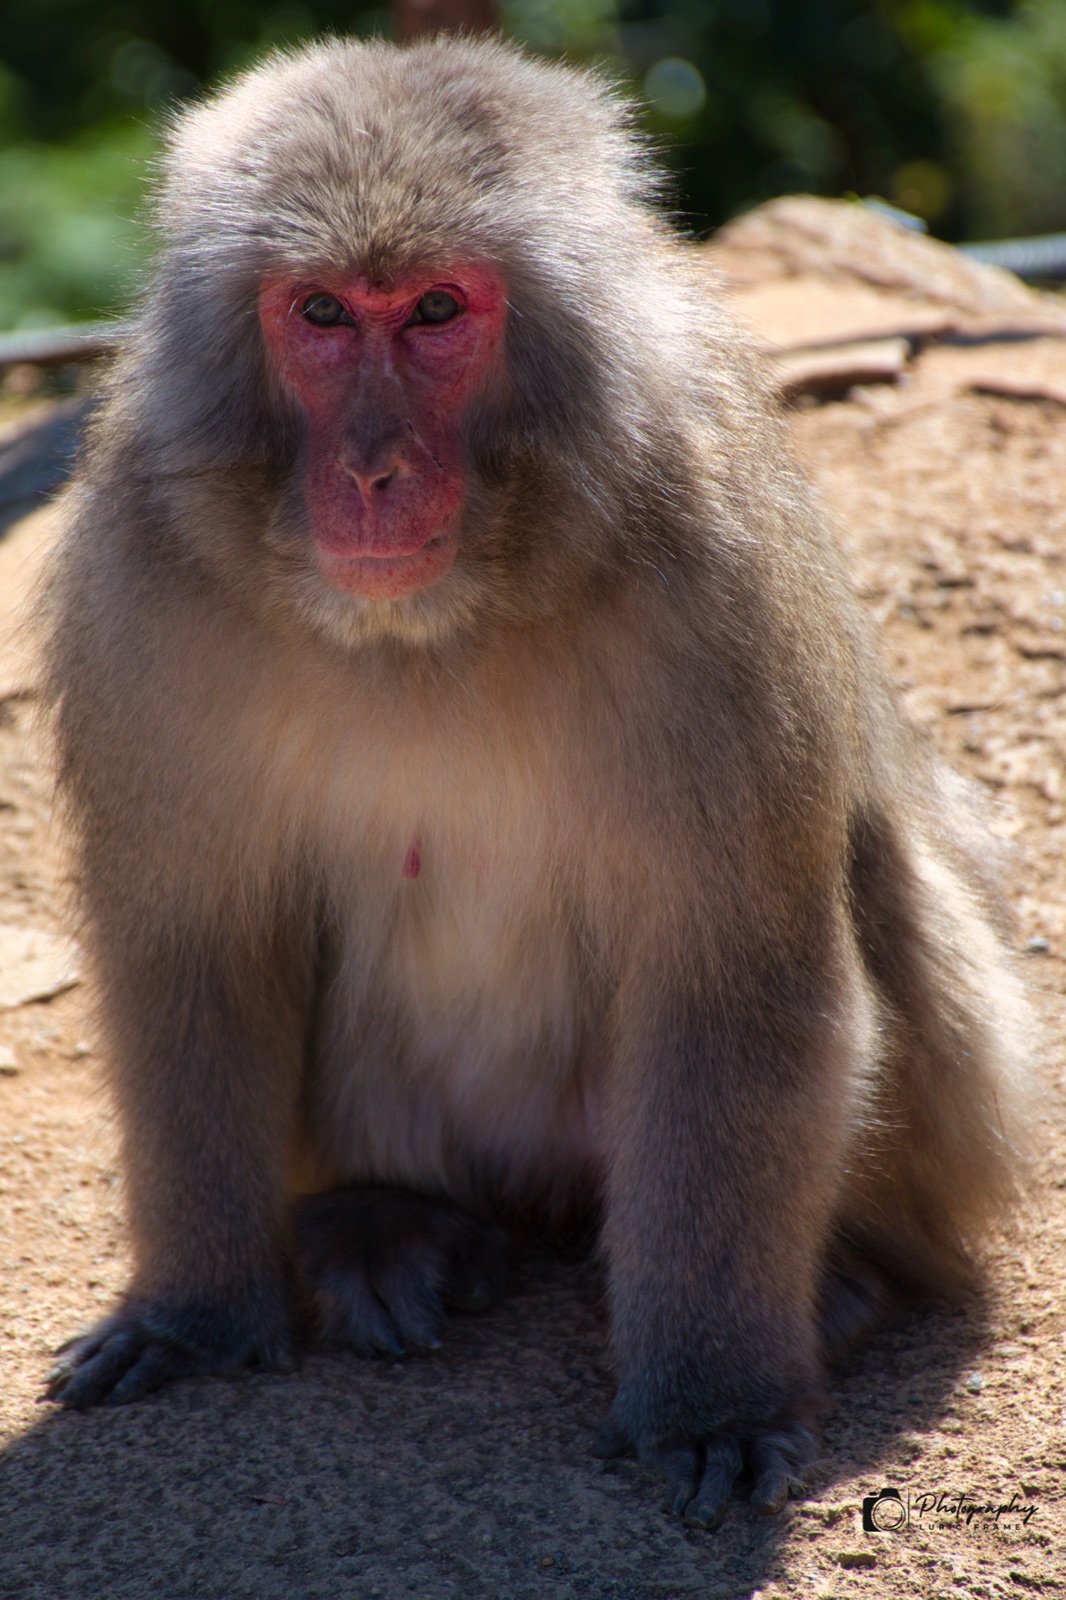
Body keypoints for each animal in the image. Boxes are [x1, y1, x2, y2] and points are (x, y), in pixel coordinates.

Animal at [39, 37, 1029, 1528]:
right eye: (320, 313)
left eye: (438, 311)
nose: (371, 471)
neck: (432, 628)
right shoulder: (141, 575)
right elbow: (193, 947)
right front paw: (197, 1311)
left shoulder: (715, 573)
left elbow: (738, 977)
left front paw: (710, 1401)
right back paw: (387, 1224)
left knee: (878, 884)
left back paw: (848, 1280)